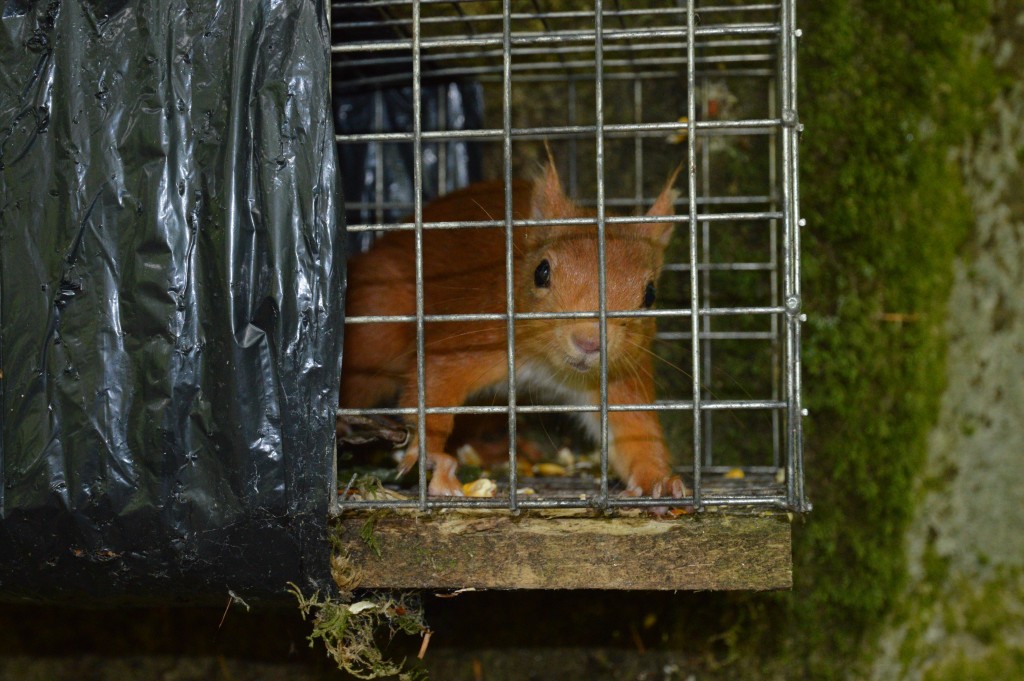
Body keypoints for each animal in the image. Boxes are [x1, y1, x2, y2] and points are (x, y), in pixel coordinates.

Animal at [339, 160, 684, 499]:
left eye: (650, 294)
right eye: (541, 272)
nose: (589, 342)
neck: (546, 366)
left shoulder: (621, 372)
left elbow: (634, 430)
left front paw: (657, 479)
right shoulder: (476, 334)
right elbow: (434, 380)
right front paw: (432, 450)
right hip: (376, 320)